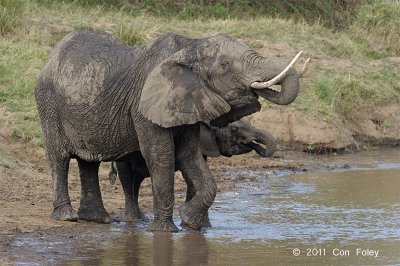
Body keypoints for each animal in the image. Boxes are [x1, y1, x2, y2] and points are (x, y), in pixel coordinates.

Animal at [109, 119, 276, 225]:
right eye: (234, 129)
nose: (256, 144)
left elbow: (194, 181)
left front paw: (200, 226)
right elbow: (190, 179)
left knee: (136, 182)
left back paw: (142, 220)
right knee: (128, 180)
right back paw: (133, 221)